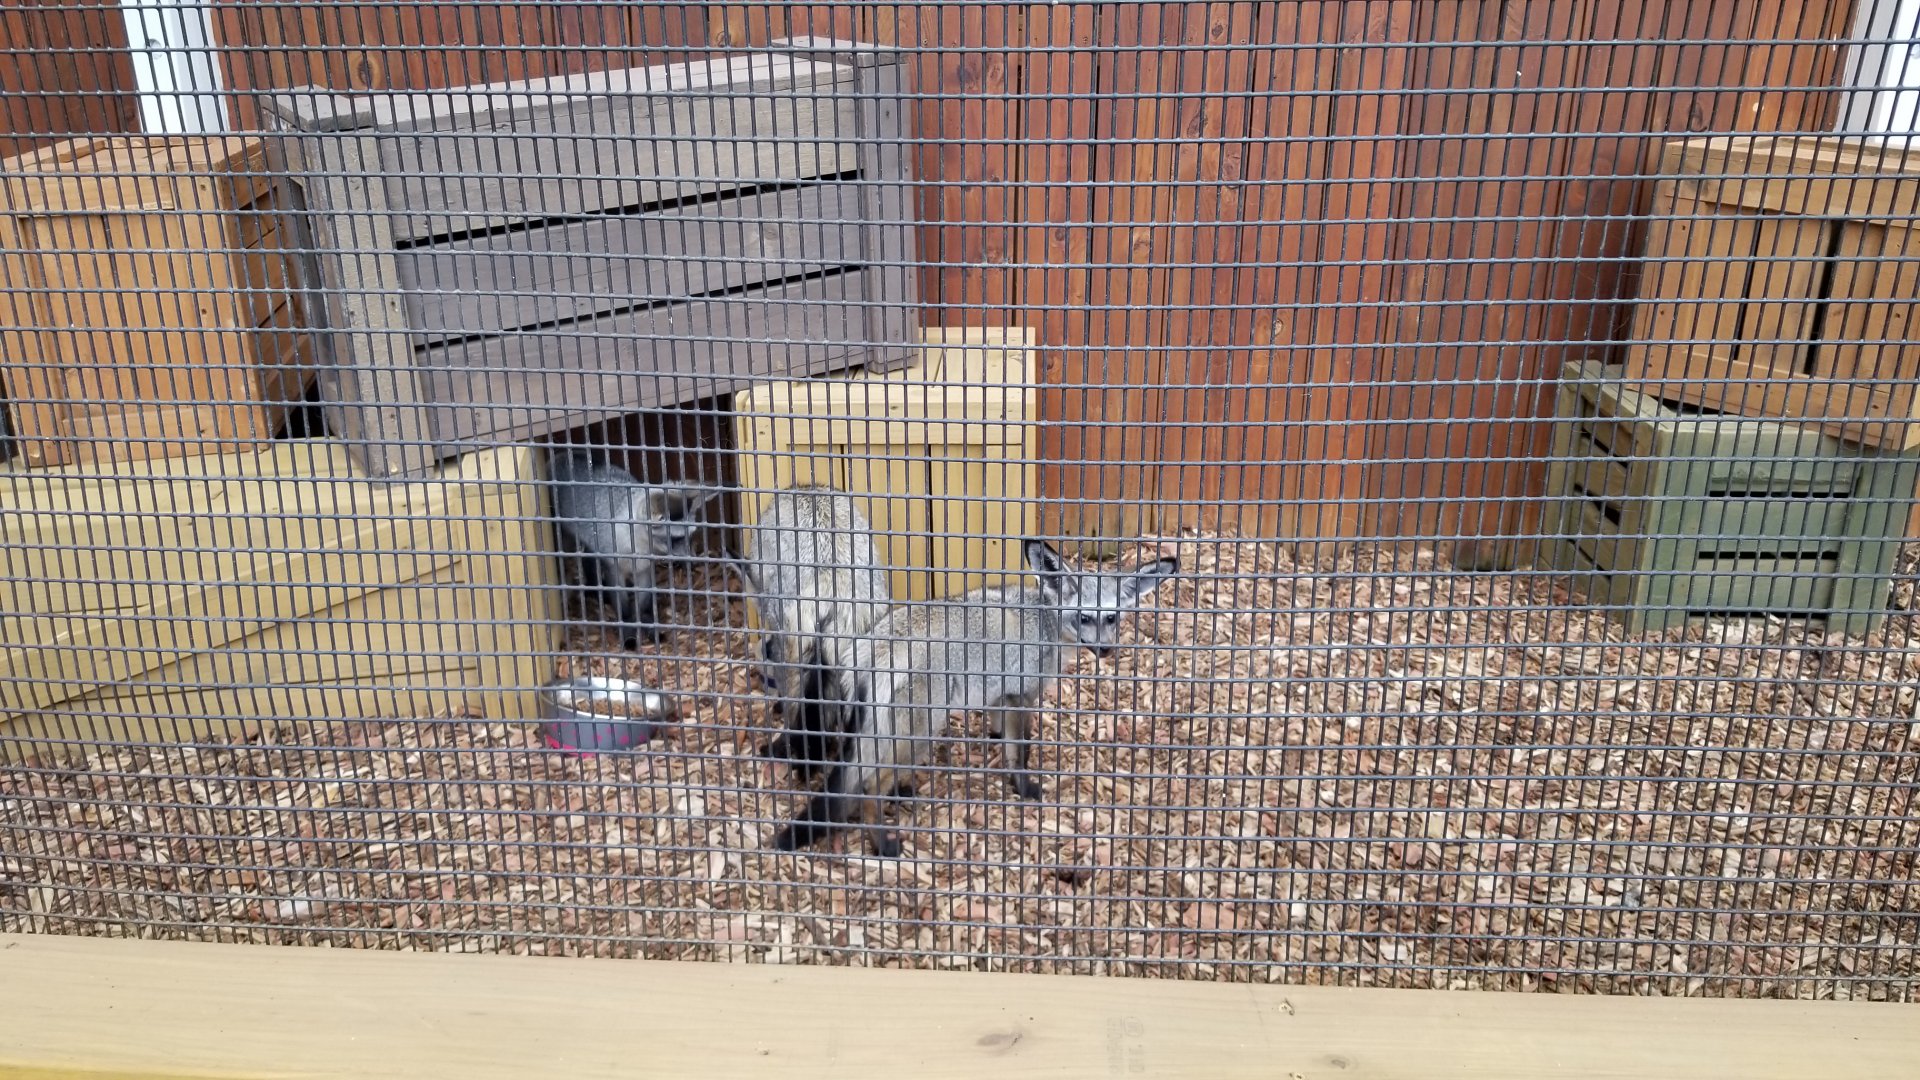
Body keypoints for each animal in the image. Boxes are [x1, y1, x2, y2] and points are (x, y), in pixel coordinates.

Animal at [547, 448, 724, 649]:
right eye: (675, 539)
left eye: (691, 536)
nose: (694, 561)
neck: (639, 549)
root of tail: (562, 454)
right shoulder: (615, 571)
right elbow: (624, 610)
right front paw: (629, 634)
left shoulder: (645, 571)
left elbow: (644, 606)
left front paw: (648, 627)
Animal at [772, 539, 1179, 858]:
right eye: (1084, 618)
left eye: (1111, 619)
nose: (1106, 650)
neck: (1045, 622)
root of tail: (873, 647)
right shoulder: (1022, 696)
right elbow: (1020, 753)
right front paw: (1024, 788)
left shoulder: (998, 696)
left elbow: (1002, 737)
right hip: (919, 731)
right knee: (870, 786)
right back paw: (882, 843)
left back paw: (899, 796)